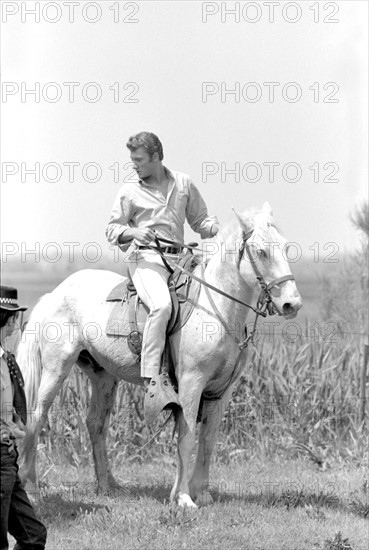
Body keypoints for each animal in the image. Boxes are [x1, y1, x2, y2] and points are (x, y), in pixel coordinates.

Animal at [16, 205, 302, 512]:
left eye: (286, 247)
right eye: (261, 251)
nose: (292, 304)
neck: (217, 311)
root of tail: (54, 294)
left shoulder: (220, 392)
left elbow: (208, 441)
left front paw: (202, 494)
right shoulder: (191, 385)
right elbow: (187, 439)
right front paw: (184, 498)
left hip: (103, 376)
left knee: (96, 424)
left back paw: (109, 486)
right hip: (56, 368)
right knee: (36, 418)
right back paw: (33, 491)